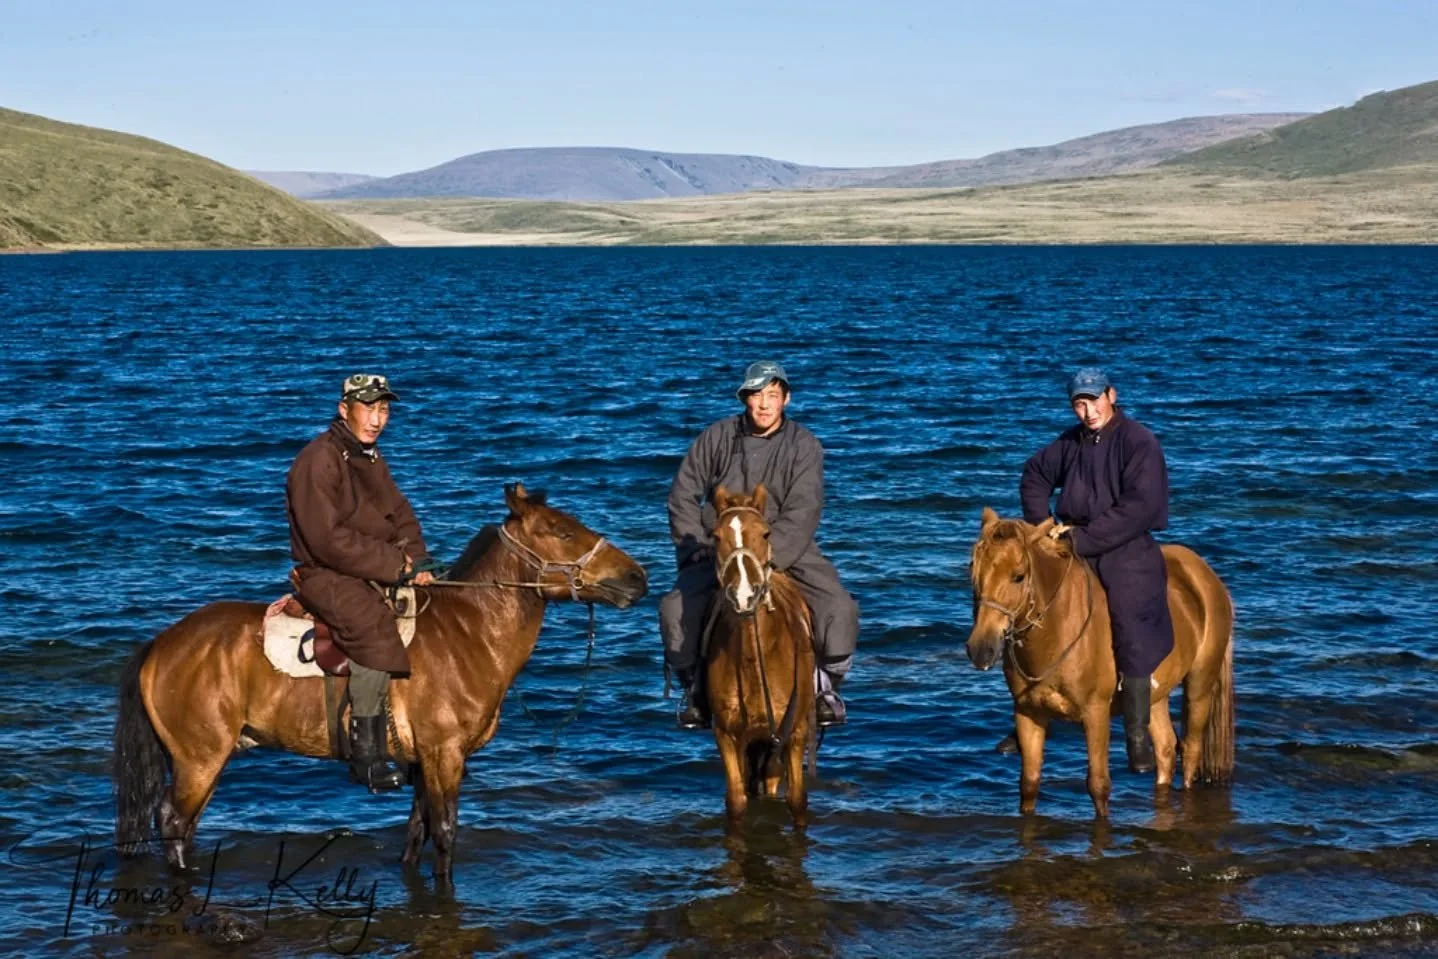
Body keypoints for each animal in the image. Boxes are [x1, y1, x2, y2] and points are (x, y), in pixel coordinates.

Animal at [113, 483, 648, 887]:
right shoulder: (444, 755)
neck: (468, 631)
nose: (636, 577)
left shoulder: (424, 761)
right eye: (562, 531)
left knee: (182, 828)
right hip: (200, 759)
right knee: (174, 822)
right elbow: (445, 833)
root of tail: (162, 643)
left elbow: (416, 832)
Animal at [705, 485, 816, 828]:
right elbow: (736, 801)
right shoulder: (727, 736)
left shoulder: (793, 734)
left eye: (765, 533)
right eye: (716, 536)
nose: (744, 596)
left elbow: (797, 801)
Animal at [966, 508, 1234, 818]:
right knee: (1166, 748)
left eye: (1018, 577)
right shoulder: (1028, 713)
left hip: (1200, 684)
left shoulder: (1095, 713)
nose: (980, 649)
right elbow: (1029, 784)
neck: (1058, 629)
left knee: (1190, 748)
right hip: (1157, 695)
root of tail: (1205, 575)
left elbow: (1098, 785)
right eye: (973, 570)